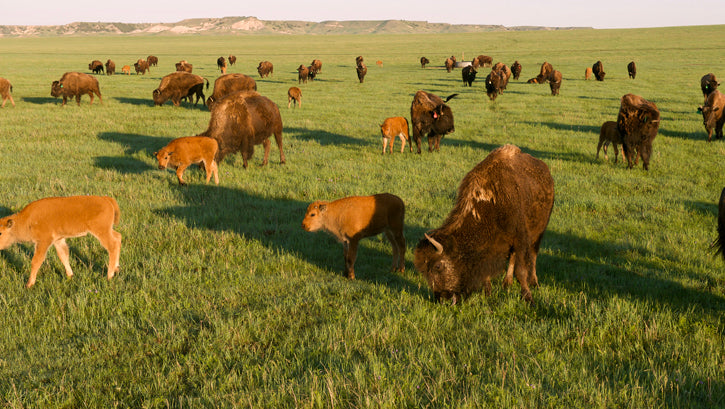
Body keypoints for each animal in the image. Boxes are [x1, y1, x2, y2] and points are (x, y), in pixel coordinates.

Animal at [412, 143, 556, 302]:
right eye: (423, 271)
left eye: (438, 266)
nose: (443, 299)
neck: (490, 202)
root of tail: (546, 171)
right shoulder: (491, 247)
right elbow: (488, 272)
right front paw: (488, 293)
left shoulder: (520, 237)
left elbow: (521, 270)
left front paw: (528, 298)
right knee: (513, 257)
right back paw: (506, 283)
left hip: (539, 232)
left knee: (533, 255)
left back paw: (534, 282)